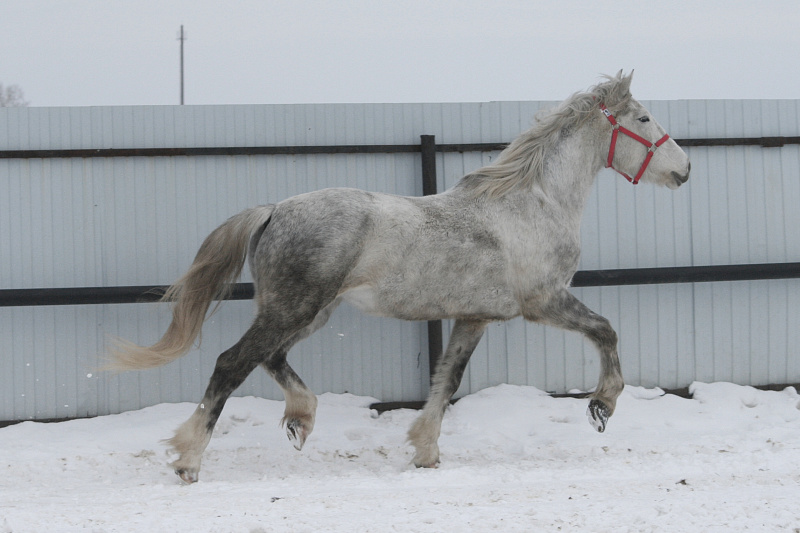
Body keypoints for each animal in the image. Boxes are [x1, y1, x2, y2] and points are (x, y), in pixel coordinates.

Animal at [110, 72, 690, 483]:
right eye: (642, 118)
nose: (683, 169)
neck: (533, 204)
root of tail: (274, 210)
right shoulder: (544, 301)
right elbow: (606, 330)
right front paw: (601, 406)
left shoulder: (474, 317)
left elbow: (447, 379)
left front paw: (425, 451)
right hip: (295, 308)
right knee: (233, 363)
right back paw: (188, 460)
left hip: (309, 311)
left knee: (270, 358)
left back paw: (300, 419)